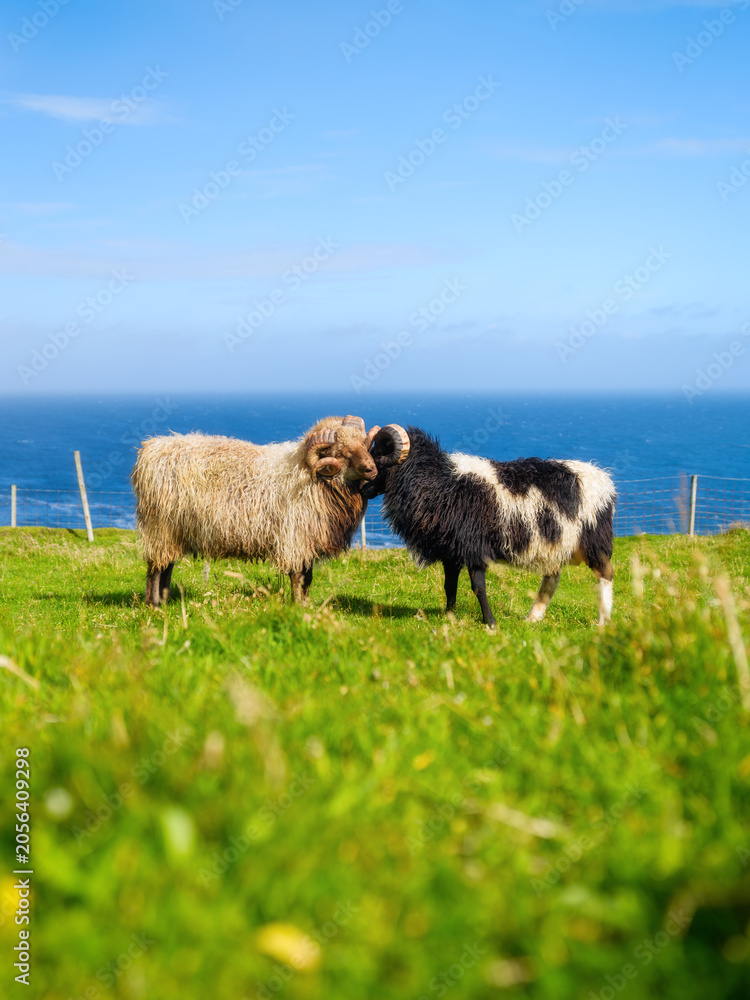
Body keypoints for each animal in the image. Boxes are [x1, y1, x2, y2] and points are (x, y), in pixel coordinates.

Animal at [131, 415, 379, 606]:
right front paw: (298, 608)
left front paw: (306, 606)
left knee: (166, 565)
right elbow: (298, 578)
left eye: (363, 444)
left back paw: (164, 600)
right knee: (155, 568)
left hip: (173, 531)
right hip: (160, 527)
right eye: (340, 452)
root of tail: (149, 449)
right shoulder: (294, 539)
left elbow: (307, 578)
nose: (372, 469)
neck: (313, 477)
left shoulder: (307, 541)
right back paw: (153, 604)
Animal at [362, 424, 616, 627]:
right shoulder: (452, 551)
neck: (436, 483)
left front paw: (490, 623)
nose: (362, 490)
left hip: (594, 542)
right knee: (551, 579)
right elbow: (449, 586)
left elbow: (478, 588)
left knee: (605, 574)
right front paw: (449, 617)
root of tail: (604, 479)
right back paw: (532, 618)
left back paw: (603, 621)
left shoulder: (475, 548)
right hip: (555, 545)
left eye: (377, 456)